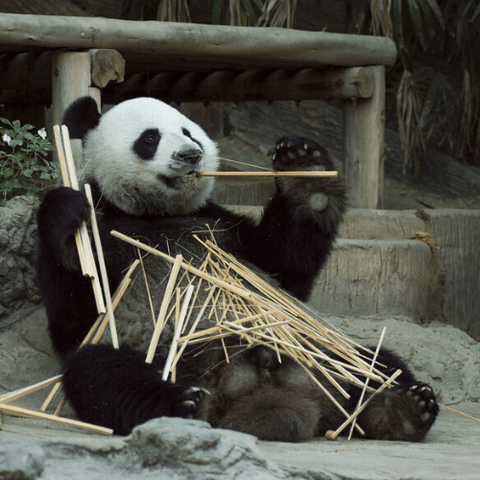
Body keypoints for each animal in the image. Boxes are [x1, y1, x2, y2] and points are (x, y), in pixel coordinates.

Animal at [35, 96, 436, 442]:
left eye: (188, 132)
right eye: (149, 138)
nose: (190, 155)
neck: (154, 213)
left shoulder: (221, 226)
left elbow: (284, 267)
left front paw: (305, 168)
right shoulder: (108, 230)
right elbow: (75, 318)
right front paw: (66, 215)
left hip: (316, 344)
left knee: (374, 361)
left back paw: (401, 409)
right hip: (167, 357)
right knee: (103, 372)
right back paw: (183, 405)